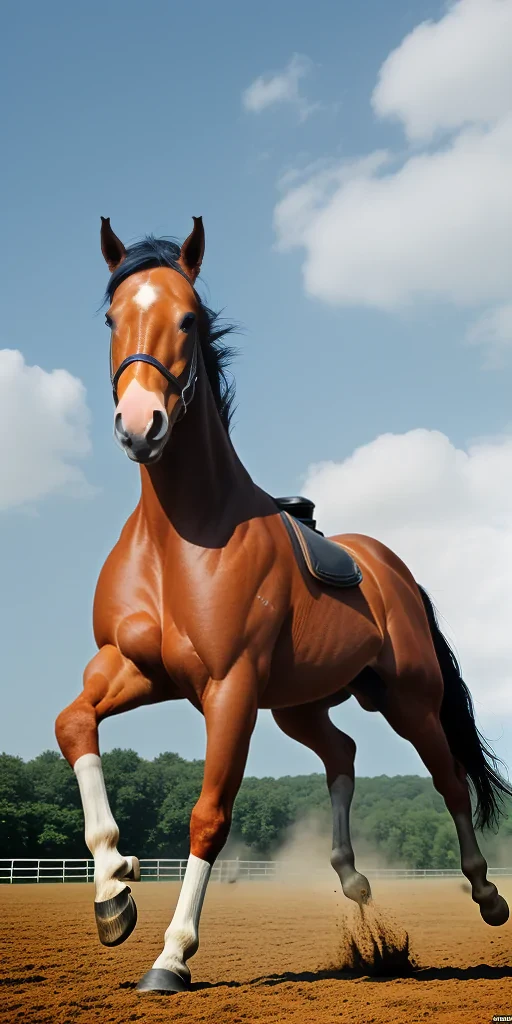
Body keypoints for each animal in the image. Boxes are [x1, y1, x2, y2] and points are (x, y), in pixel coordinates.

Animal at [55, 215, 511, 994]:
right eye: (112, 317)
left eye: (189, 316)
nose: (140, 423)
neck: (179, 535)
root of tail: (390, 567)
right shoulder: (132, 668)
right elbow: (73, 724)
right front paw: (114, 888)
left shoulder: (228, 687)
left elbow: (209, 815)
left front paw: (172, 954)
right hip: (300, 706)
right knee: (343, 753)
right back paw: (352, 879)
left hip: (409, 700)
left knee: (448, 777)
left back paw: (485, 892)